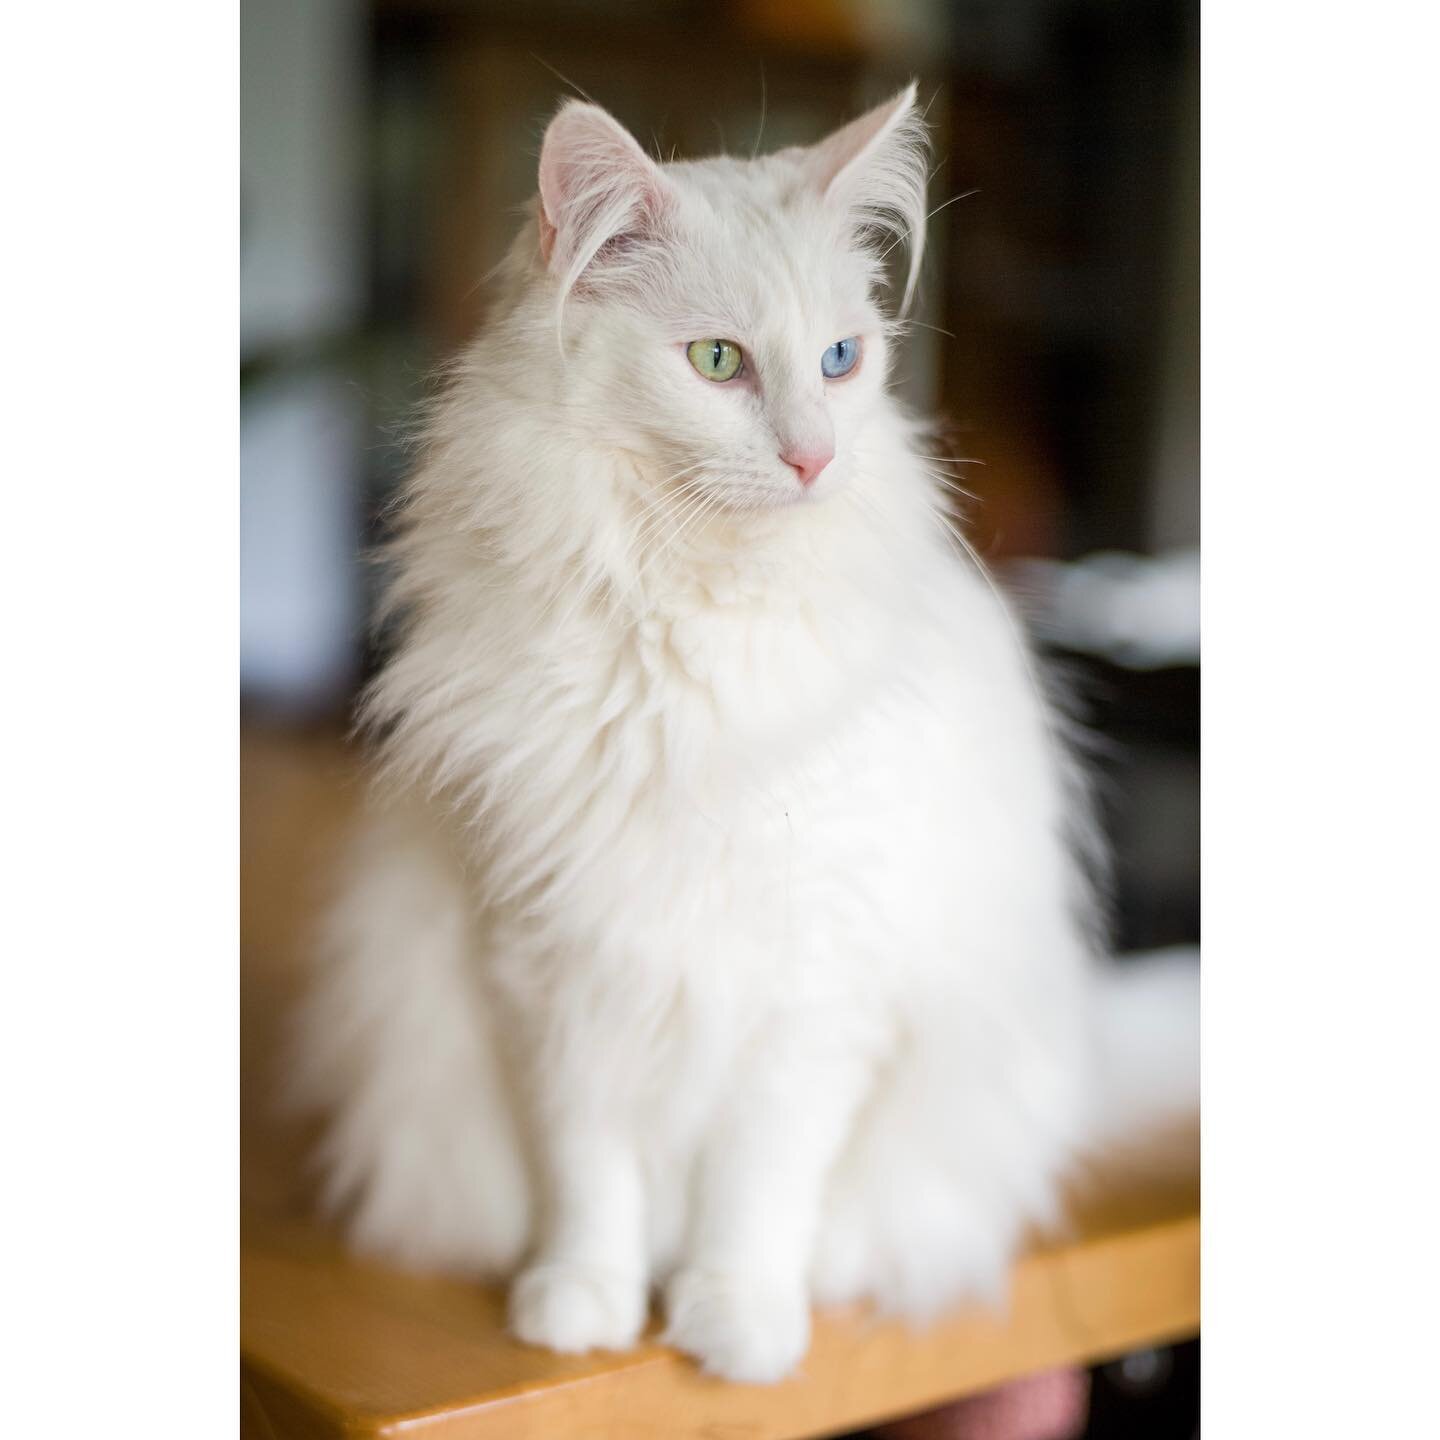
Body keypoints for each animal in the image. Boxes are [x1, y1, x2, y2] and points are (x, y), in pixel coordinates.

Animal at [286, 87, 1198, 1382]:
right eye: (718, 361)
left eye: (840, 359)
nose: (814, 457)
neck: (686, 640)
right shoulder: (555, 976)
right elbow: (591, 1175)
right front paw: (583, 1305)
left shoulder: (813, 989)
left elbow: (758, 1186)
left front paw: (737, 1325)